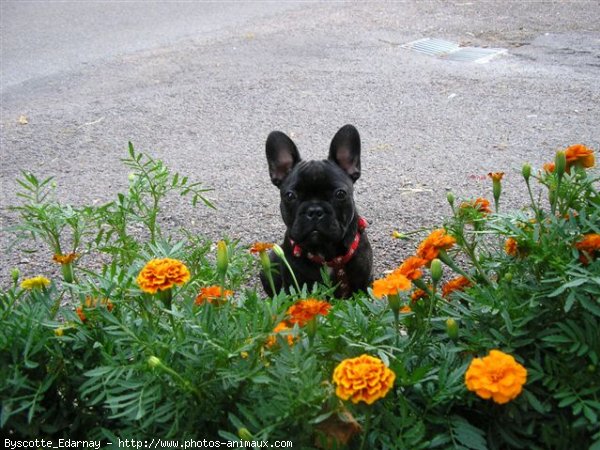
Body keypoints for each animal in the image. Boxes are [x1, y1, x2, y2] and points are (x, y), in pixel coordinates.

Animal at [262, 124, 372, 298]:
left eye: (340, 194)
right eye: (290, 195)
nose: (314, 211)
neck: (325, 253)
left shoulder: (364, 283)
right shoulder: (294, 285)